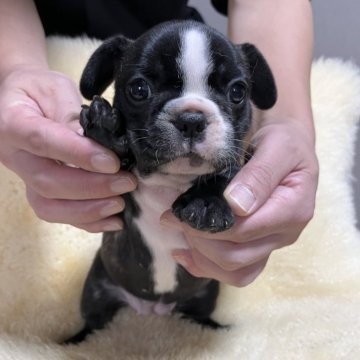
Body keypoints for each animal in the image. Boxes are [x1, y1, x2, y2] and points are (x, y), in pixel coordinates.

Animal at [67, 19, 276, 344]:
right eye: (139, 89)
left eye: (238, 91)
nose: (192, 119)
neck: (174, 180)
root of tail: (153, 309)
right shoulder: (117, 200)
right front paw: (105, 128)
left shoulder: (239, 160)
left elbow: (227, 173)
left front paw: (206, 203)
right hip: (97, 287)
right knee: (94, 321)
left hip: (206, 292)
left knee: (195, 316)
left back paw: (212, 326)